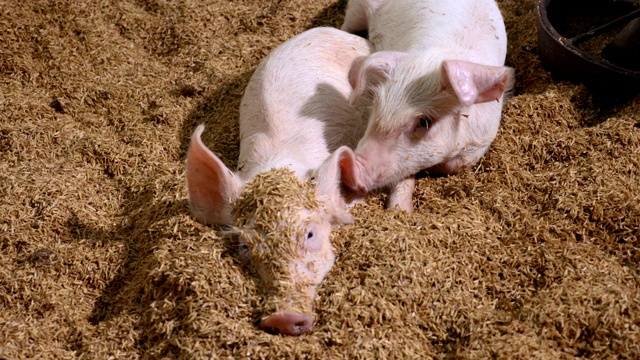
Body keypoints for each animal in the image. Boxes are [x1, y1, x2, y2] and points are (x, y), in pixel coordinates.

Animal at [340, 0, 516, 211]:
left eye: (424, 122)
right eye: (376, 106)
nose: (349, 167)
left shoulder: (485, 137)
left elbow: (455, 164)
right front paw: (401, 210)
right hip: (357, 9)